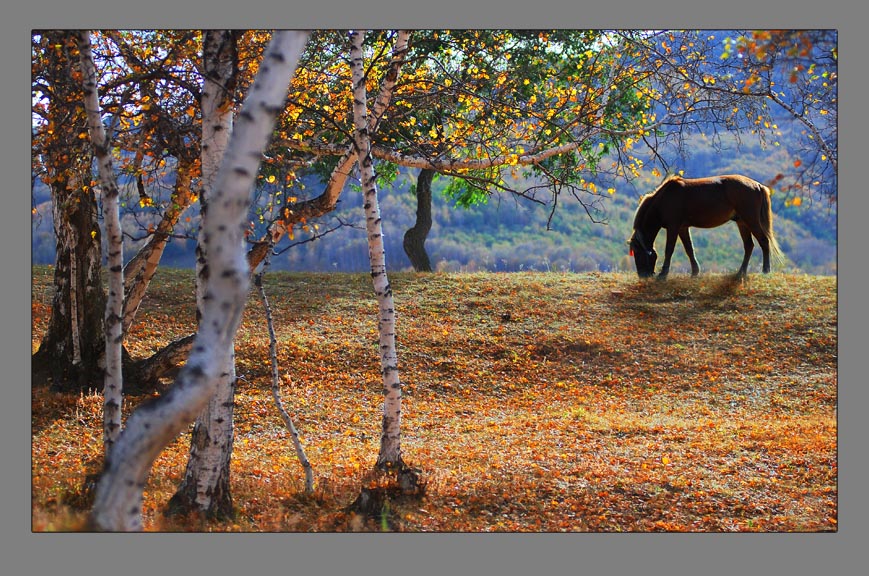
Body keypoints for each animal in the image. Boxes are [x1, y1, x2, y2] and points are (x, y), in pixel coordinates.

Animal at [628, 174, 784, 278]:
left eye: (638, 253)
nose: (642, 275)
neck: (664, 200)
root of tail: (758, 185)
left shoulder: (673, 227)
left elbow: (669, 250)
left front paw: (663, 274)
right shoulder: (682, 228)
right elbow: (689, 249)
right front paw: (695, 272)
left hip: (751, 220)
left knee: (763, 241)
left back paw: (765, 270)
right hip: (742, 223)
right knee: (749, 246)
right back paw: (741, 272)